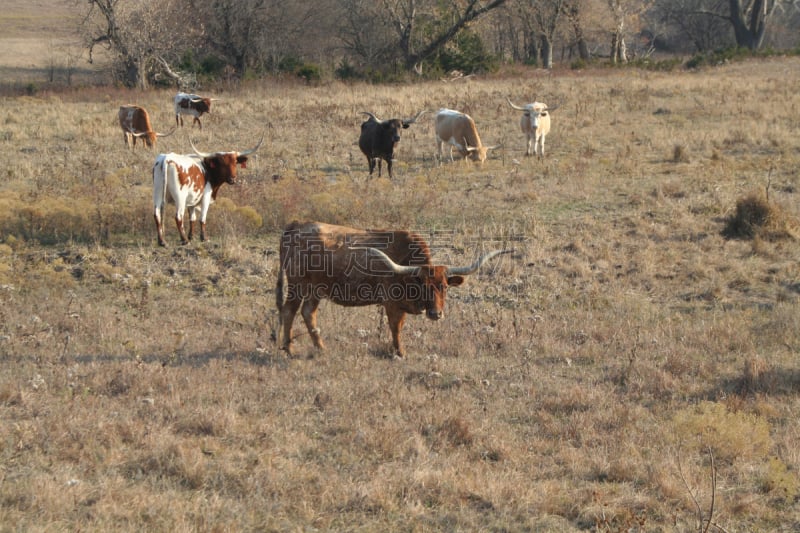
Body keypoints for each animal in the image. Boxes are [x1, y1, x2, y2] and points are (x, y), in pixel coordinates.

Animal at [276, 220, 512, 358]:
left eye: (444, 286)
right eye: (422, 285)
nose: (436, 314)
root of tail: (297, 225)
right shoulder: (391, 304)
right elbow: (395, 328)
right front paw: (400, 352)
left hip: (316, 289)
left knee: (308, 313)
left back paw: (321, 347)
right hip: (297, 285)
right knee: (289, 311)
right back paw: (289, 348)